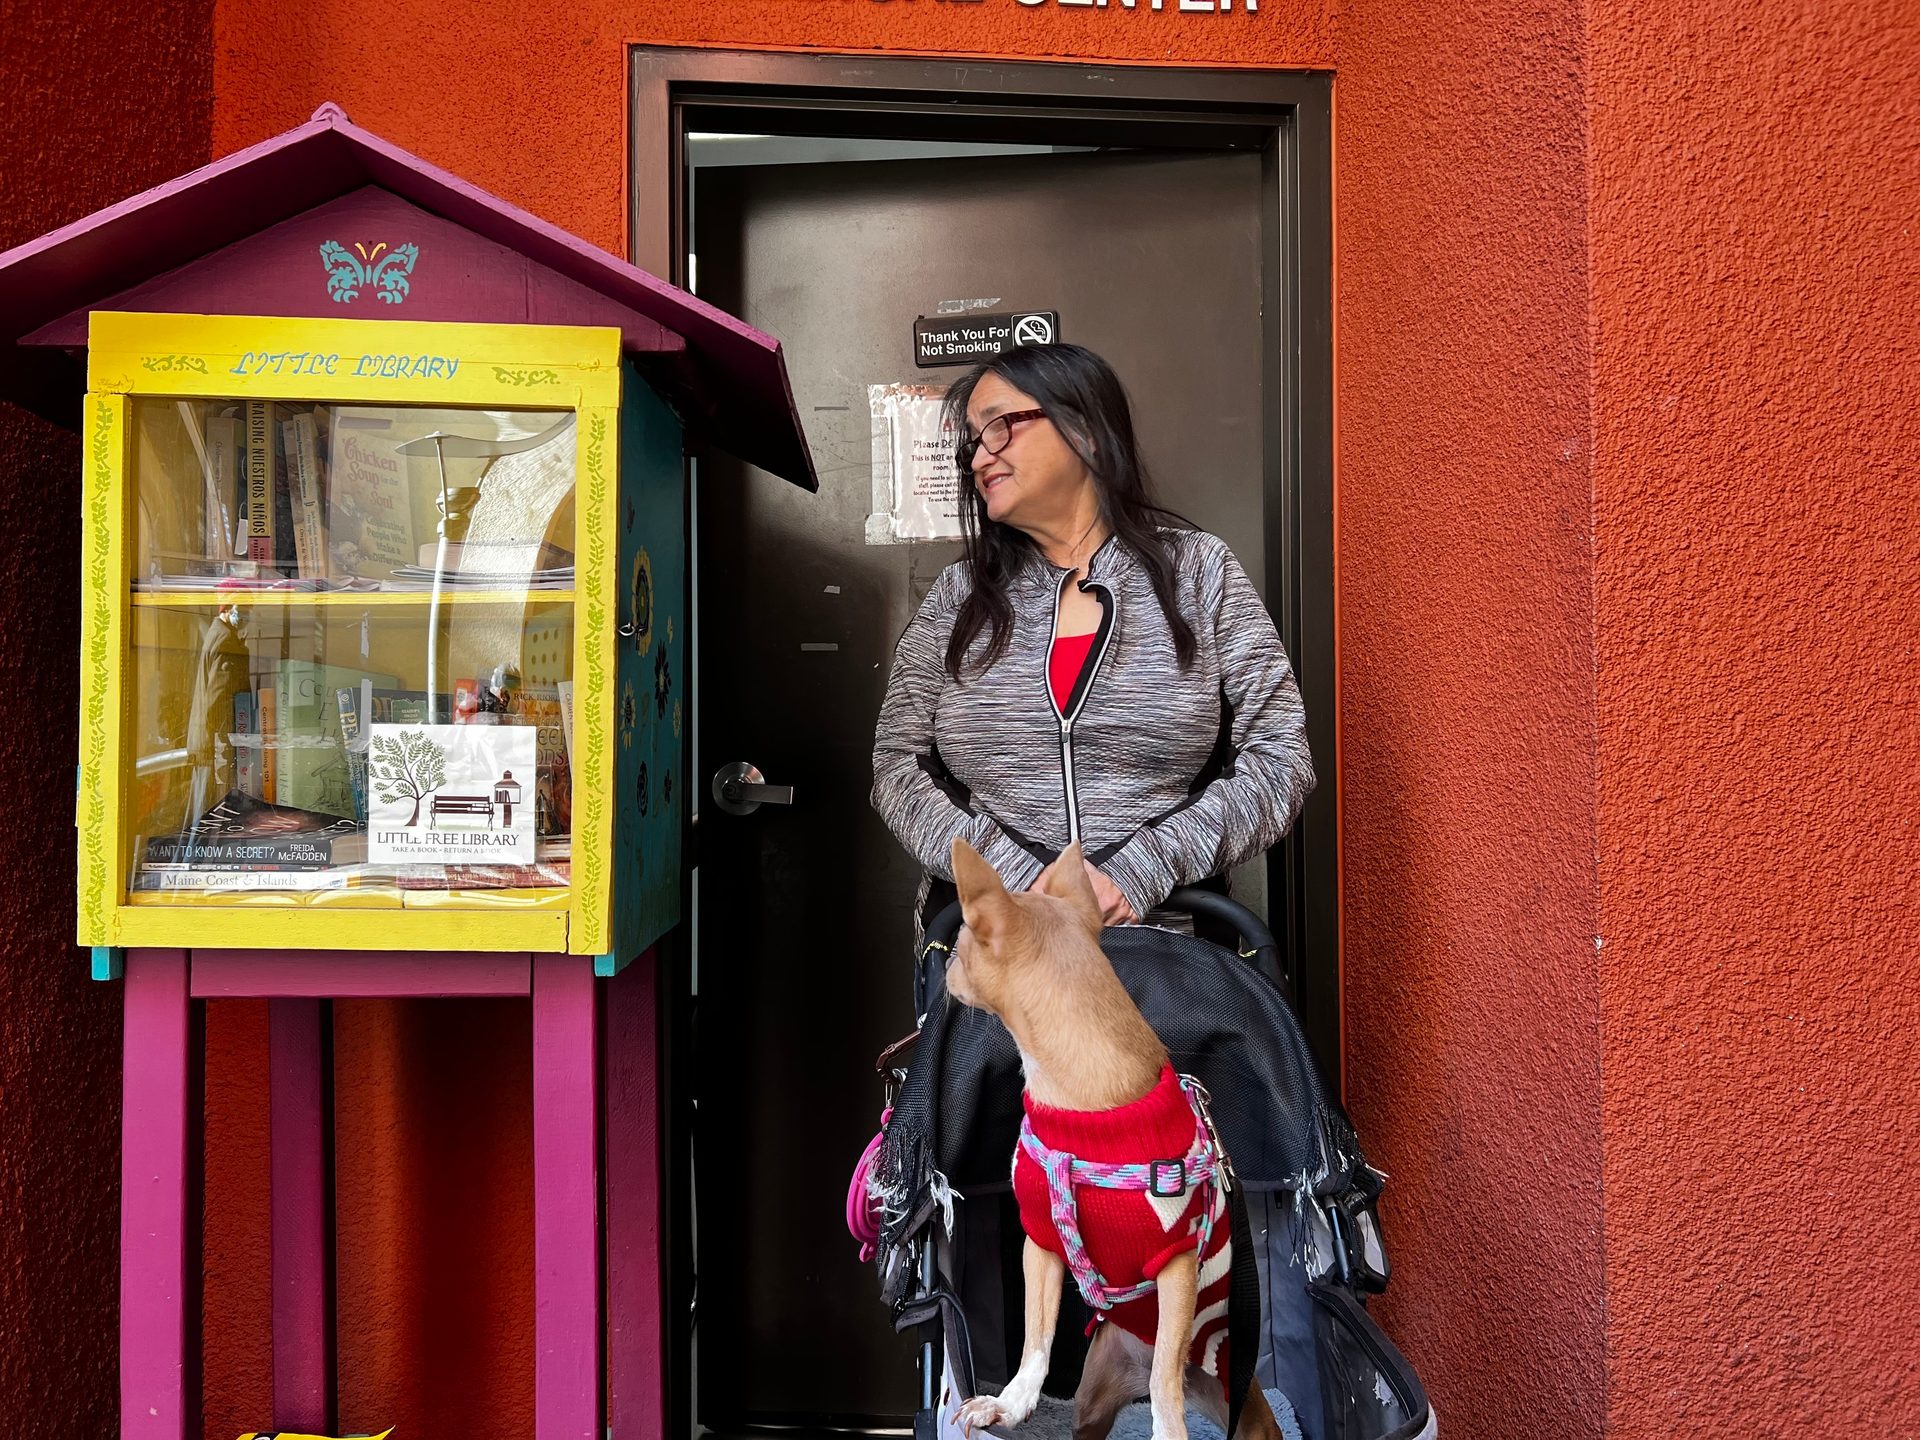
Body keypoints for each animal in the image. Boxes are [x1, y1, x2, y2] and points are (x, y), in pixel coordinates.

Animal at [940, 840, 1274, 1440]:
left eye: (960, 947)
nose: (947, 966)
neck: (1088, 1106)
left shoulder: (1177, 1261)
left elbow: (1165, 1369)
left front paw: (1168, 1430)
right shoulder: (1043, 1242)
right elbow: (1036, 1334)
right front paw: (1011, 1401)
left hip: (1246, 1413)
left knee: (1168, 1372)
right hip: (1092, 1400)